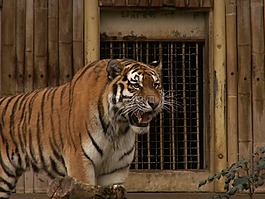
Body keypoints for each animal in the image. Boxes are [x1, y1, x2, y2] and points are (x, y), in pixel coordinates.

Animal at [0, 58, 163, 198]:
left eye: (156, 85)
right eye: (136, 85)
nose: (155, 103)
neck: (118, 128)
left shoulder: (115, 172)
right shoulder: (80, 163)